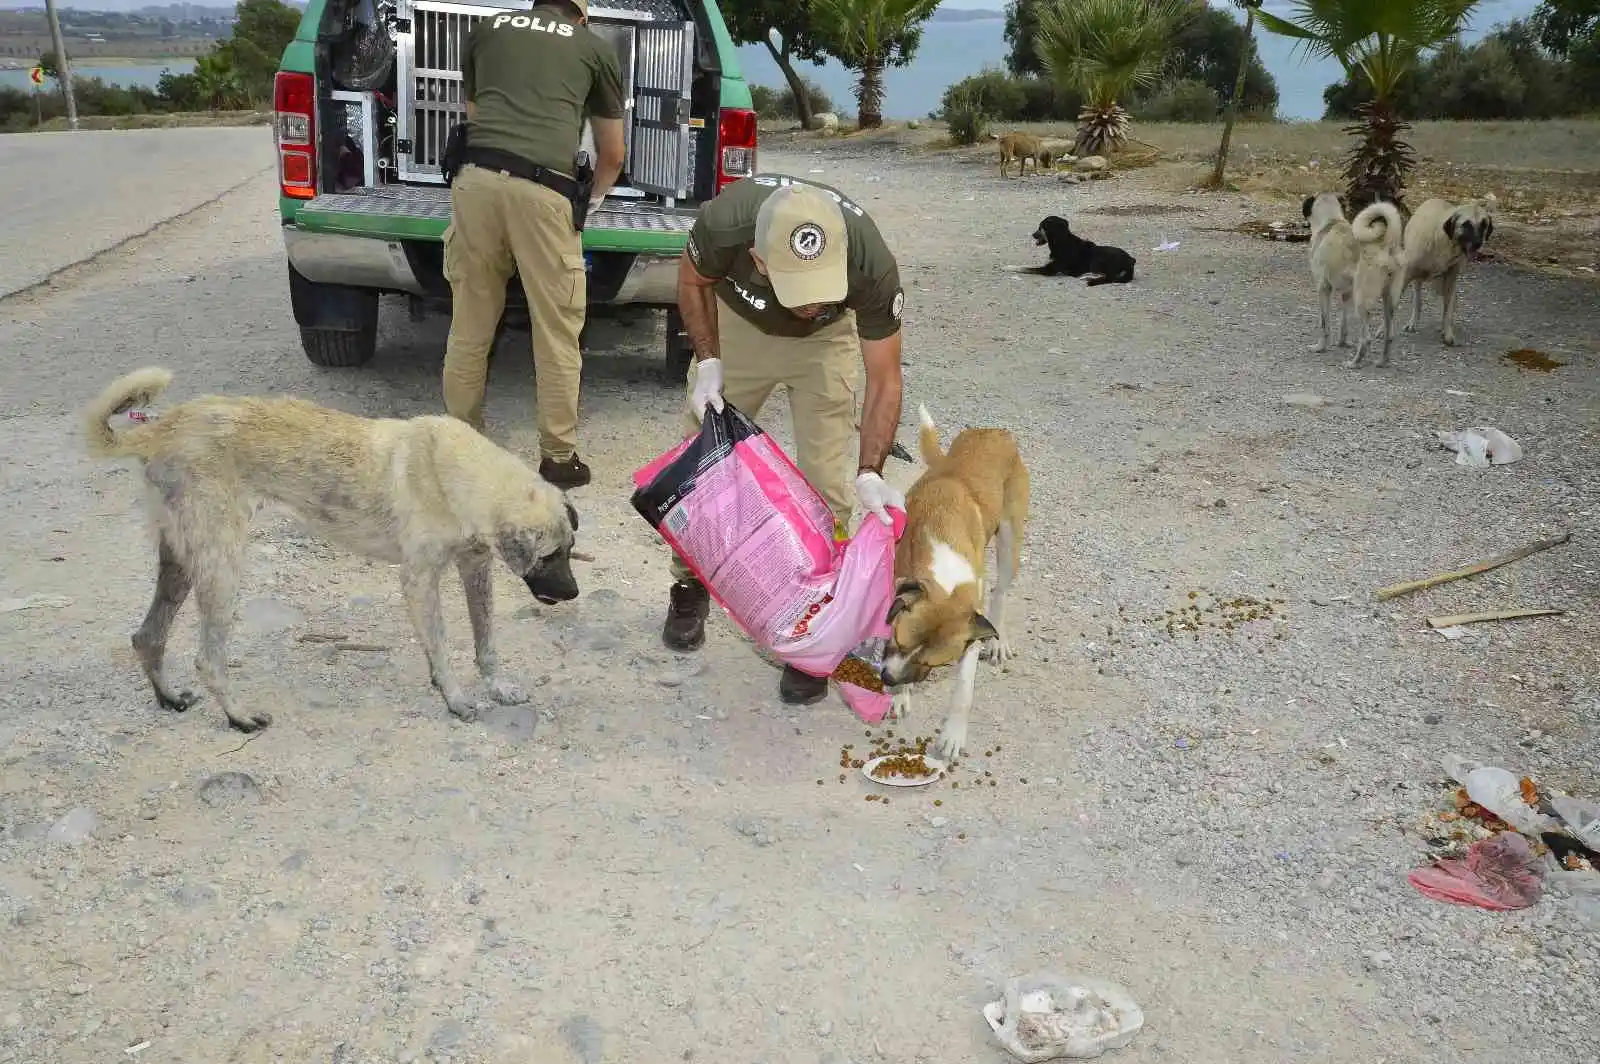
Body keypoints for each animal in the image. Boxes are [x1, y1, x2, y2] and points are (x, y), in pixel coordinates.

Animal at [81, 364, 582, 729]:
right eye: (548, 556)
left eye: (570, 549)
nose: (574, 593)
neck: (459, 473)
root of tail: (162, 428)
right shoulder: (419, 580)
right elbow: (442, 644)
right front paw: (455, 697)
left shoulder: (475, 566)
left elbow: (485, 641)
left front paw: (493, 686)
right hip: (220, 566)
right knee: (207, 658)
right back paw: (239, 717)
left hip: (181, 561)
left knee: (147, 636)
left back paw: (168, 697)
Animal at [883, 403, 1030, 758]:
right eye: (898, 641)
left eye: (930, 662)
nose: (888, 680)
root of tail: (992, 431)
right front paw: (899, 697)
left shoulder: (970, 629)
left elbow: (964, 690)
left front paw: (953, 734)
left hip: (1009, 542)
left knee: (1000, 591)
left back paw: (999, 639)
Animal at [1011, 214, 1139, 286]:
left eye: (1041, 227)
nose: (1032, 235)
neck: (1061, 241)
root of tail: (1130, 260)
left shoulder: (1049, 270)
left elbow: (1025, 268)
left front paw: (1009, 267)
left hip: (1099, 259)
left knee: (1109, 277)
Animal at [1305, 192, 1408, 368]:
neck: (1331, 221)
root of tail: (1387, 245)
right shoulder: (1346, 294)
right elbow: (1343, 323)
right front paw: (1342, 343)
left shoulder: (1323, 288)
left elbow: (1324, 323)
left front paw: (1320, 347)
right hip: (1389, 301)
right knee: (1389, 335)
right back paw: (1382, 361)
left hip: (1361, 301)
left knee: (1366, 339)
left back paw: (1354, 363)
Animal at [1408, 189, 1491, 340]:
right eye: (1466, 224)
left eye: (1484, 225)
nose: (1478, 244)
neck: (1444, 243)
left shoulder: (1450, 277)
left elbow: (1447, 309)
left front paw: (1447, 332)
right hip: (1419, 278)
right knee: (1418, 299)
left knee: (1448, 301)